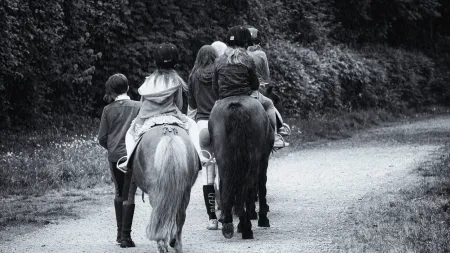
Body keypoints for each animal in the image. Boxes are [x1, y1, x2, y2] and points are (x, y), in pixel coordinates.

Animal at [208, 95, 274, 239]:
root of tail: (236, 108)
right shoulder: (263, 160)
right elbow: (261, 186)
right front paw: (262, 218)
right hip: (253, 161)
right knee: (248, 187)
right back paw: (246, 228)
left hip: (224, 160)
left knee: (227, 185)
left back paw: (229, 224)